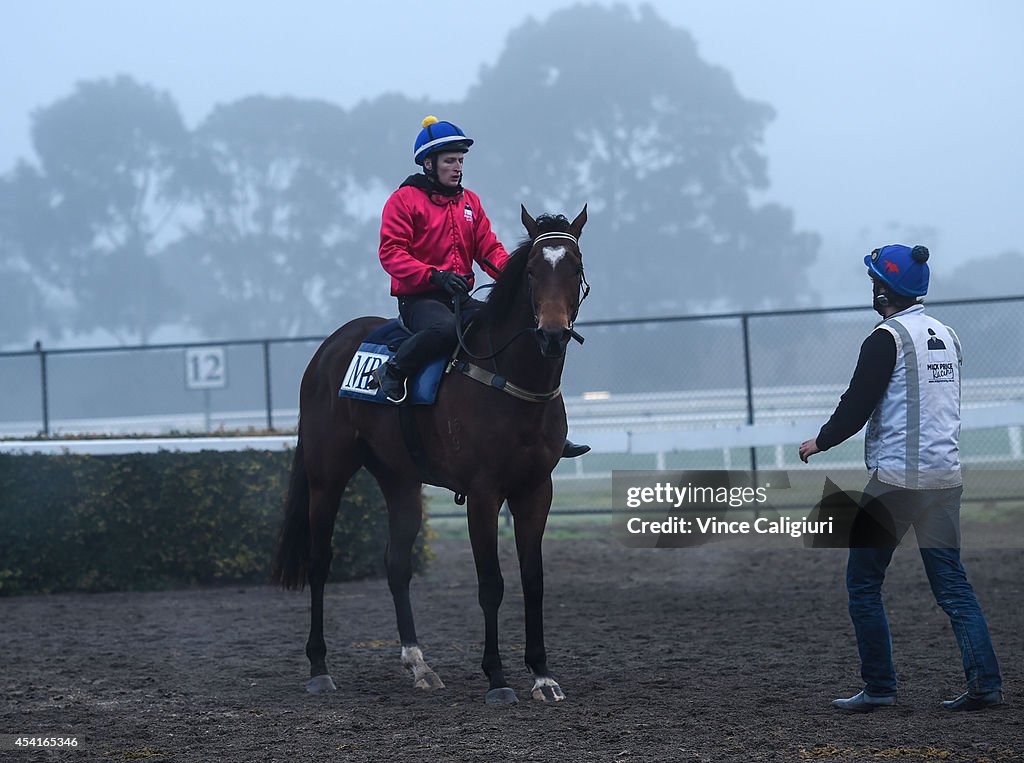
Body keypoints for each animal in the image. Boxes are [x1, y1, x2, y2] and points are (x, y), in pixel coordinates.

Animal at [272, 205, 589, 704]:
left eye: (574, 268)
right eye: (533, 271)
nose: (553, 335)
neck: (509, 378)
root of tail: (328, 351)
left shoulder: (536, 491)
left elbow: (533, 581)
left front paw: (542, 674)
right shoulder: (483, 494)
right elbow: (491, 584)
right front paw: (497, 679)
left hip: (400, 481)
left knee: (396, 564)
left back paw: (419, 664)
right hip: (327, 477)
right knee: (319, 561)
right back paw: (319, 668)